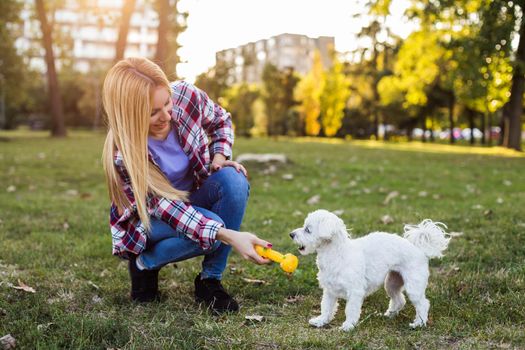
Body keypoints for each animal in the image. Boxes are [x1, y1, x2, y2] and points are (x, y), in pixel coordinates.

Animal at [288, 209, 448, 332]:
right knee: (399, 300)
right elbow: (326, 308)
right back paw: (389, 315)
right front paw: (321, 321)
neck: (336, 254)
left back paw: (419, 323)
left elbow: (350, 310)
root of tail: (419, 249)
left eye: (308, 230)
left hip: (414, 286)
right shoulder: (329, 291)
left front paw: (348, 326)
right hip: (392, 283)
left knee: (423, 304)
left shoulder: (355, 292)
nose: (291, 234)